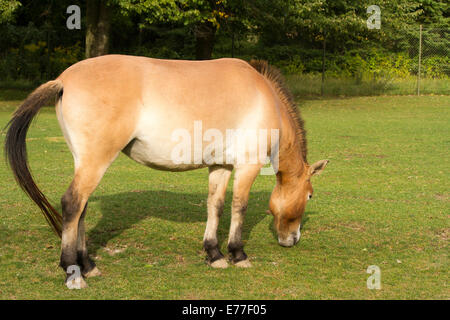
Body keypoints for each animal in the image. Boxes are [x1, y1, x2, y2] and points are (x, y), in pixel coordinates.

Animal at [2, 55, 326, 290]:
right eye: (310, 196)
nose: (292, 240)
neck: (265, 98)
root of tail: (63, 80)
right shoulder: (248, 165)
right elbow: (239, 207)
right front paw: (237, 254)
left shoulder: (220, 165)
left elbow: (216, 206)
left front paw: (214, 254)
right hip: (95, 161)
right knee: (72, 204)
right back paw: (73, 272)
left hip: (84, 162)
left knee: (80, 209)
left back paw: (89, 266)